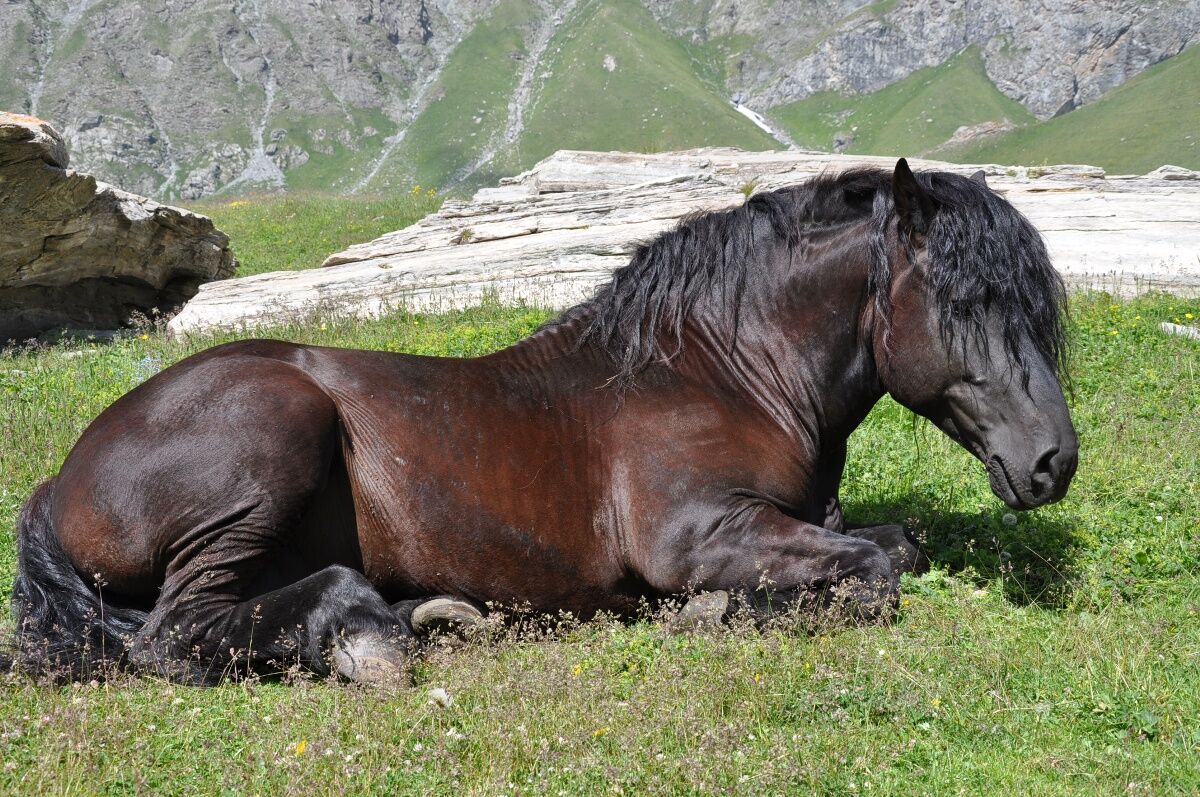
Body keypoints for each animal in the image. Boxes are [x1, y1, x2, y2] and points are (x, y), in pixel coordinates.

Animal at [10, 159, 1078, 684]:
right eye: (967, 299)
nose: (1053, 462)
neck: (719, 372)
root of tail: (63, 475)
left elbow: (895, 544)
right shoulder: (700, 534)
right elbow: (874, 573)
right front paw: (717, 610)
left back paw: (424, 614)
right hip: (271, 442)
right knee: (172, 635)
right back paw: (361, 637)